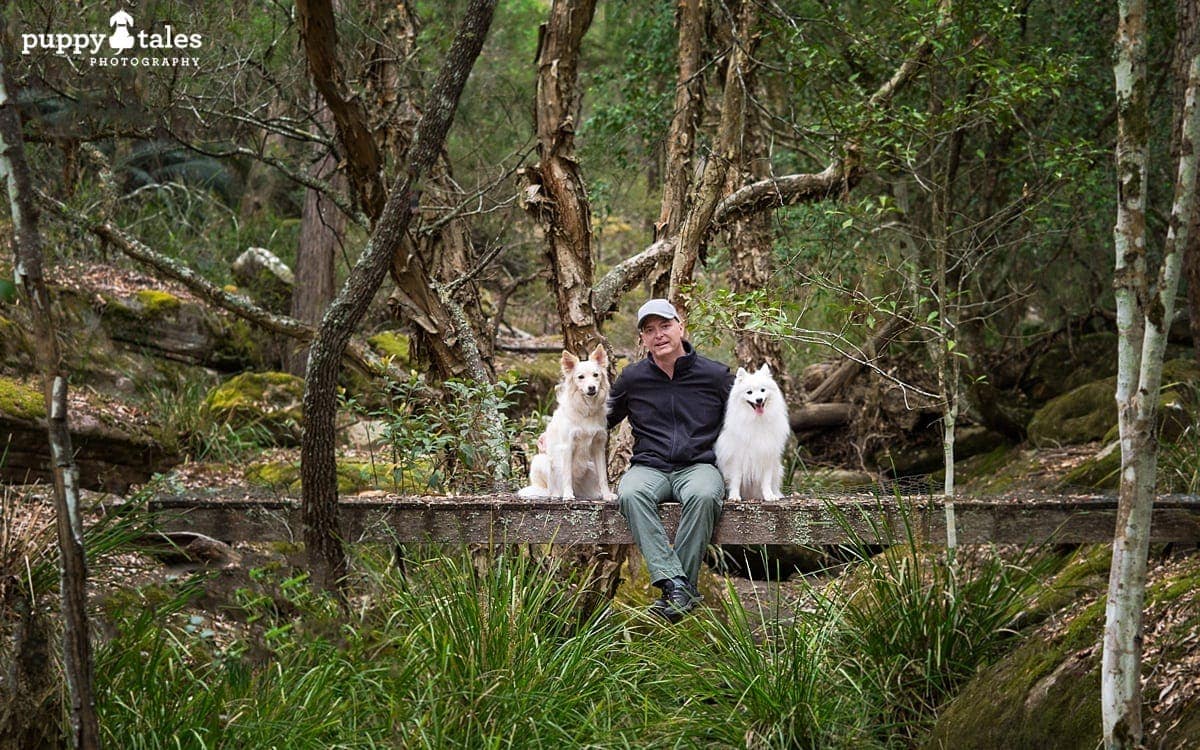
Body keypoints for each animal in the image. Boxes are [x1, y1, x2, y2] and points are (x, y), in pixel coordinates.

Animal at [516, 345, 614, 499]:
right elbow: (567, 474)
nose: (592, 388)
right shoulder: (567, 446)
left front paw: (607, 495)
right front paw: (568, 495)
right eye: (580, 377)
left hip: (590, 466)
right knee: (552, 489)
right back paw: (557, 494)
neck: (586, 411)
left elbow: (603, 476)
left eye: (596, 375)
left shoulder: (598, 446)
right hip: (541, 460)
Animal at [715, 364, 792, 499]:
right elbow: (736, 479)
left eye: (763, 390)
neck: (757, 420)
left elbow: (766, 480)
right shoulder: (737, 457)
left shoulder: (767, 453)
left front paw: (769, 495)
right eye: (749, 392)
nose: (759, 400)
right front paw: (734, 496)